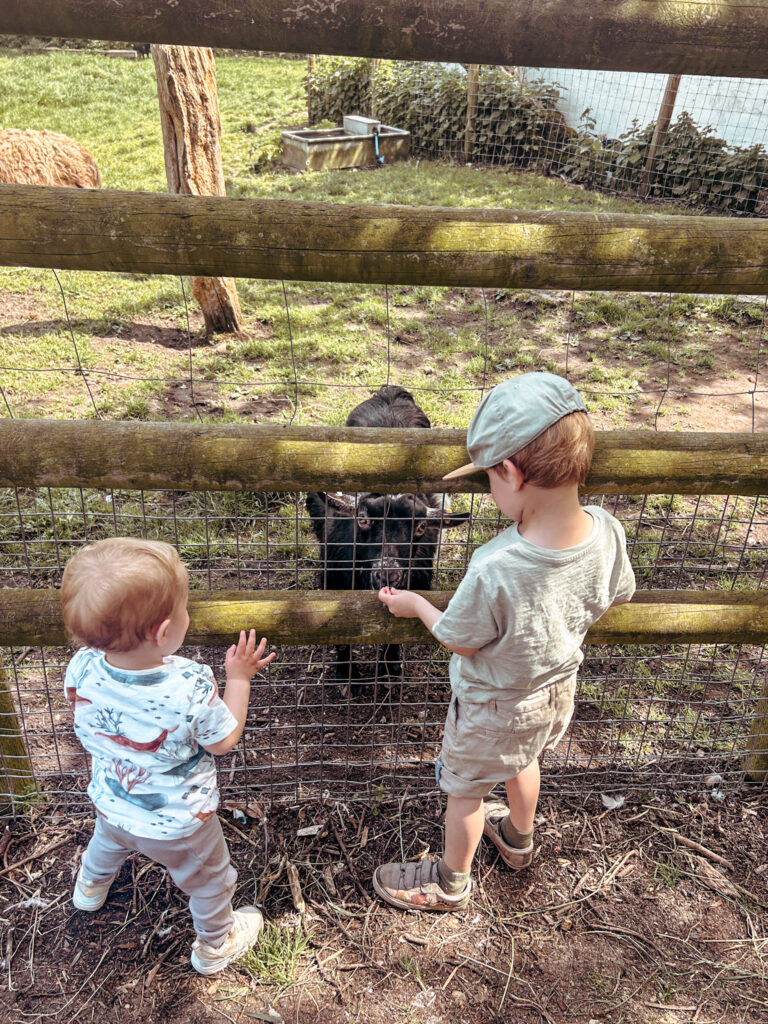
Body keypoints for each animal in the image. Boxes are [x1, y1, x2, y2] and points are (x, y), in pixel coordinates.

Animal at [307, 385, 468, 688]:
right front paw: (346, 676)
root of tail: (390, 392)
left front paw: (389, 668)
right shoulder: (332, 582)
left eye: (420, 527)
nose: (388, 575)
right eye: (362, 519)